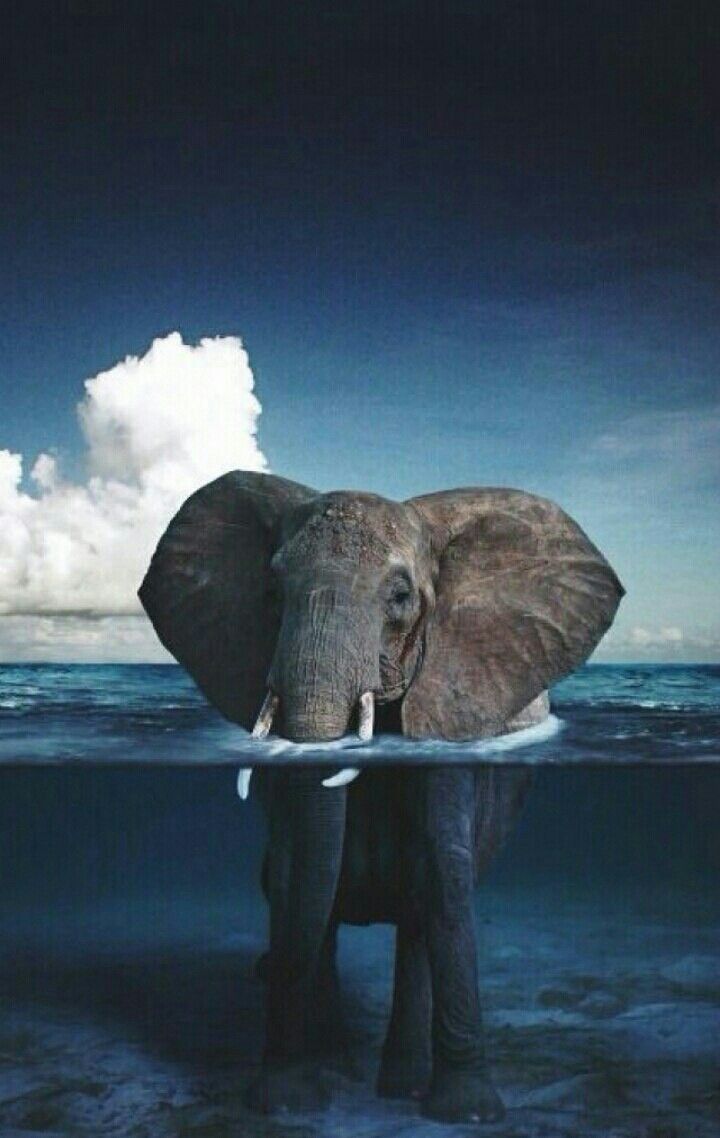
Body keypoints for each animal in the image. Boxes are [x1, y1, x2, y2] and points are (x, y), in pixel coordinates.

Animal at [139, 471, 623, 1125]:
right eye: (273, 590)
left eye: (399, 596)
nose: (261, 970)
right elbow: (294, 875)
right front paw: (286, 1101)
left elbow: (444, 873)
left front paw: (468, 1114)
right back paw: (343, 1070)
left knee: (418, 917)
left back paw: (401, 1086)